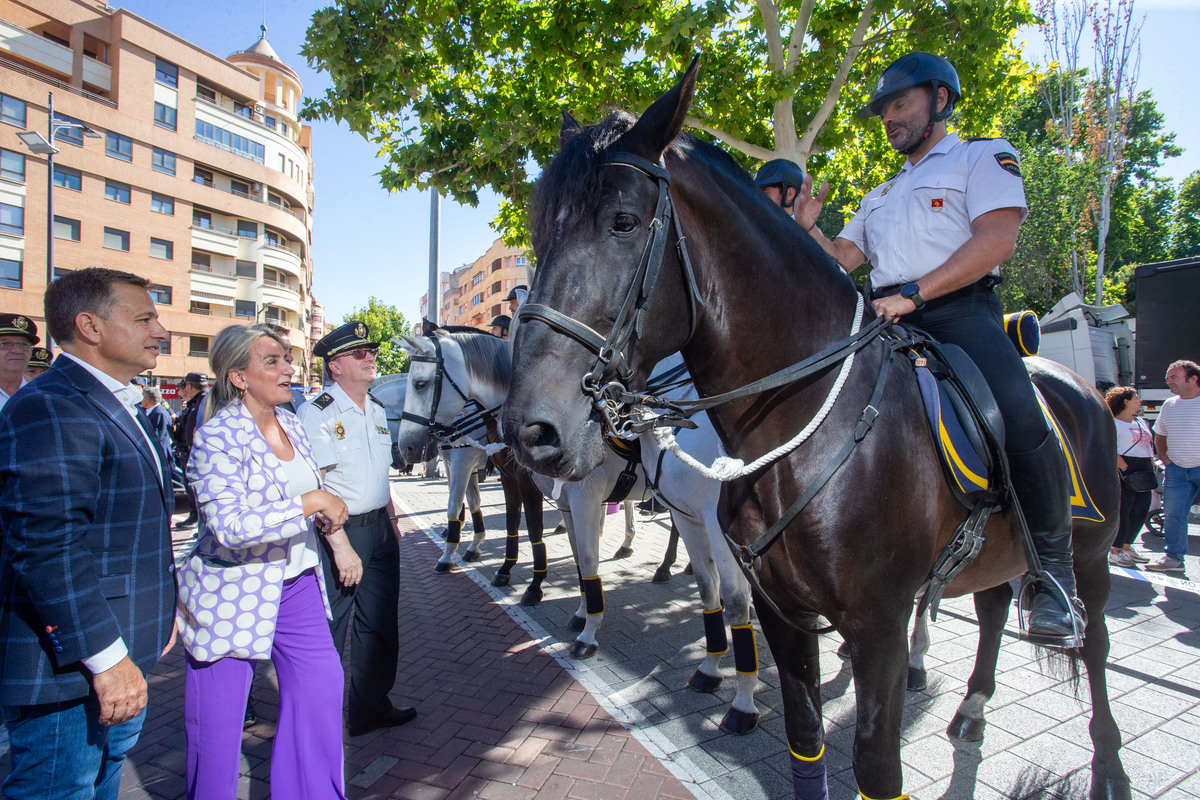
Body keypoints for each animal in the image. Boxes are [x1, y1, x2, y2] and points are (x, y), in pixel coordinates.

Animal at [391, 328, 758, 734]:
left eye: (420, 383)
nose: (406, 448)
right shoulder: (564, 502)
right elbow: (582, 565)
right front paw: (582, 612)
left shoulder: (575, 498)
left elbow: (575, 554)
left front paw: (583, 630)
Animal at [501, 61, 1128, 800]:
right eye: (539, 233)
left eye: (623, 222)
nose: (531, 430)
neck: (801, 427)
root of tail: (1080, 386)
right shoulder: (783, 612)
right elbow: (804, 744)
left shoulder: (878, 625)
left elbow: (876, 766)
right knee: (996, 609)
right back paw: (972, 712)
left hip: (1091, 557)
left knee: (1094, 646)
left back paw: (1107, 755)